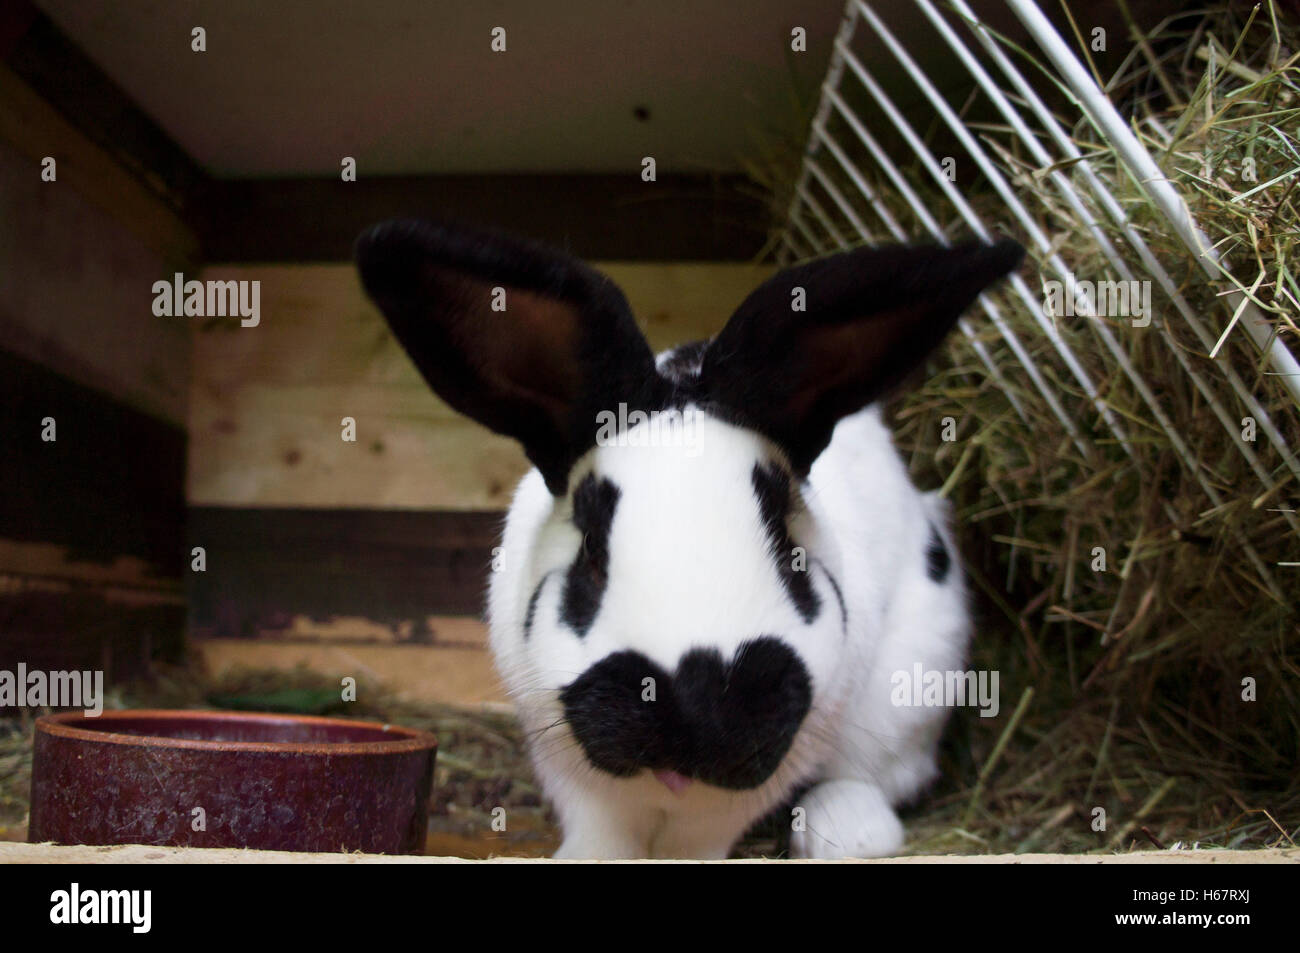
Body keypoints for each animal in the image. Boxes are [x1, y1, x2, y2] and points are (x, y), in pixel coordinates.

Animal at [355, 219, 1023, 859]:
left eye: (789, 548)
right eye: (591, 552)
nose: (694, 706)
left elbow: (704, 833)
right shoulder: (562, 752)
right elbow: (601, 825)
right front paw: (590, 857)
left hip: (912, 685)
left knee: (877, 774)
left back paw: (850, 831)